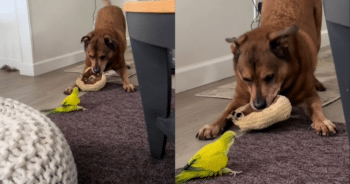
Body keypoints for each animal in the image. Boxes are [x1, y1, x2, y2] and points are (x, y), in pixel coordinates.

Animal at [197, 0, 336, 139]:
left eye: (270, 77)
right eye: (246, 79)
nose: (259, 106)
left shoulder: (309, 96)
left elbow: (315, 108)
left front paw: (322, 122)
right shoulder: (240, 97)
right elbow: (226, 111)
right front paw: (212, 126)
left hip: (317, 33)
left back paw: (317, 82)